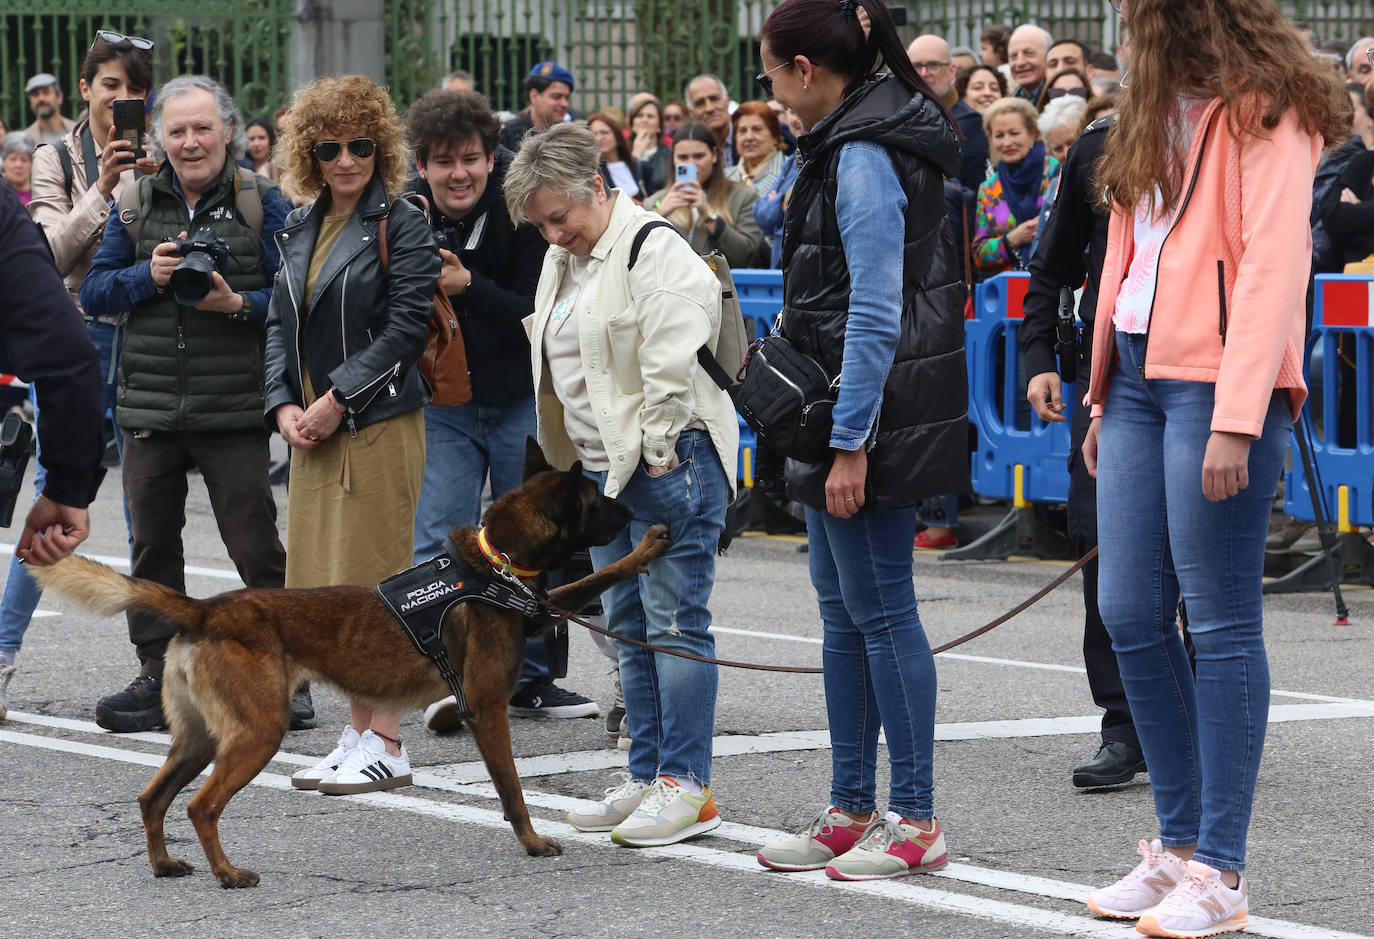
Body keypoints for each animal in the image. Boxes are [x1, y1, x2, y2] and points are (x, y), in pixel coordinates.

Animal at [34, 439, 667, 890]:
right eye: (599, 502)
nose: (632, 506)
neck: (493, 564)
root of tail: (207, 608)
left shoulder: (543, 608)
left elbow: (587, 583)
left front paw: (645, 550)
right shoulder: (487, 710)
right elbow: (512, 790)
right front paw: (533, 843)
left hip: (200, 739)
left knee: (153, 798)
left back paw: (165, 865)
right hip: (257, 733)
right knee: (201, 805)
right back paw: (228, 874)